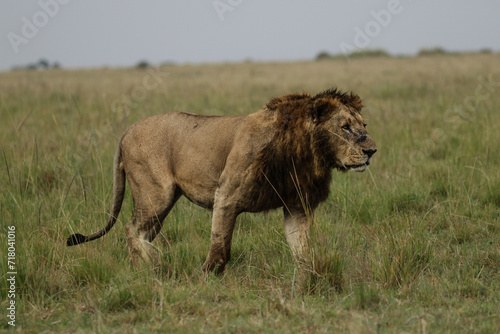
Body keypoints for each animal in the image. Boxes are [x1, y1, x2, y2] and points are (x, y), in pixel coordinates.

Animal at [68, 88, 376, 274]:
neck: (304, 153)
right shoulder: (226, 196)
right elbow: (220, 247)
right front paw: (204, 276)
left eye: (364, 125)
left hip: (160, 203)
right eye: (345, 127)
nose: (372, 150)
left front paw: (308, 276)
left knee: (141, 232)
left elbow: (302, 249)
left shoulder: (296, 206)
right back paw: (155, 265)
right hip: (156, 194)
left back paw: (143, 269)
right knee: (132, 230)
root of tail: (128, 129)